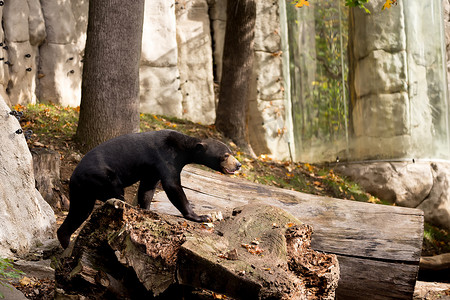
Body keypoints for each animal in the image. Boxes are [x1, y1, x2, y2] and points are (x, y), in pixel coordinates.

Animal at [57, 129, 243, 248]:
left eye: (232, 152)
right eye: (226, 155)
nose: (238, 165)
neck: (183, 149)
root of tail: (74, 176)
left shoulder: (152, 169)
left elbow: (147, 188)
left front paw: (146, 209)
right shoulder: (165, 157)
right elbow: (172, 186)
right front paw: (201, 216)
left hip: (82, 191)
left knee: (79, 211)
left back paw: (65, 240)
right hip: (103, 178)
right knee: (114, 195)